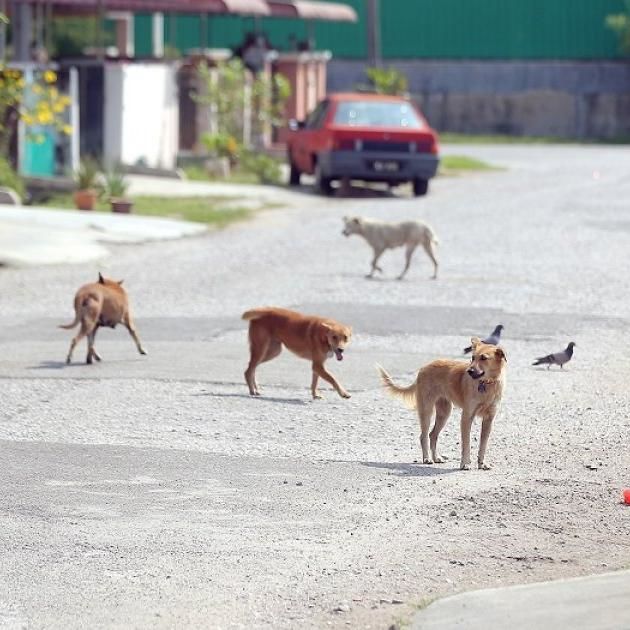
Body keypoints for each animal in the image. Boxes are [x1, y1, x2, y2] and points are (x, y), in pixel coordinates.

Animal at [380, 340, 508, 470]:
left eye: (483, 358)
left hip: (444, 413)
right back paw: (427, 459)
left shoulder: (489, 420)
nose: (469, 371)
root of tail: (423, 368)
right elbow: (466, 444)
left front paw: (482, 464)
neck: (487, 384)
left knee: (432, 435)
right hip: (427, 411)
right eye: (472, 358)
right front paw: (465, 463)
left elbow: (483, 445)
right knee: (423, 436)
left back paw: (436, 457)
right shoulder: (467, 418)